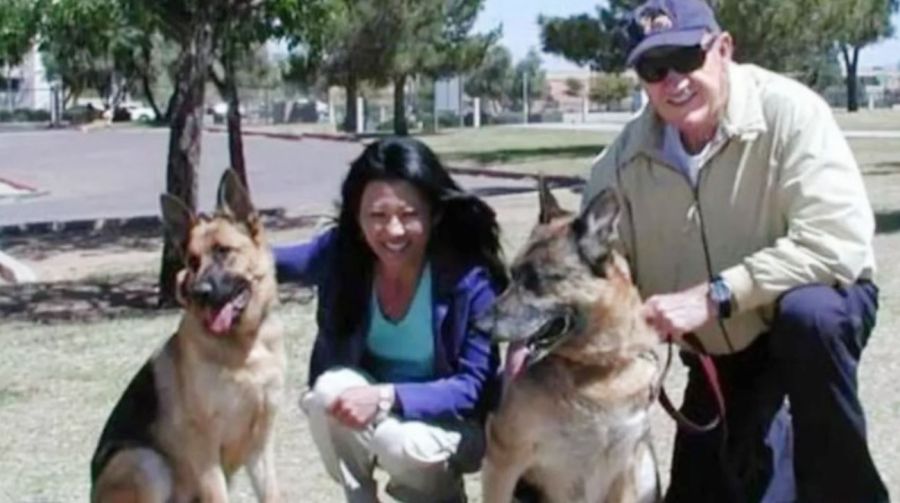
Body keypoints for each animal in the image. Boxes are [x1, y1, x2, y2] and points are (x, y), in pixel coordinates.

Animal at [91, 171, 284, 502]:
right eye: (192, 261)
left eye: (223, 251)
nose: (199, 292)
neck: (243, 347)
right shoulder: (205, 450)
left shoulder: (260, 445)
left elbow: (273, 494)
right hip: (146, 462)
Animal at [478, 182, 660, 503]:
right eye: (513, 274)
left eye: (536, 280)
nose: (478, 325)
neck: (595, 368)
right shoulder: (504, 458)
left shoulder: (625, 467)